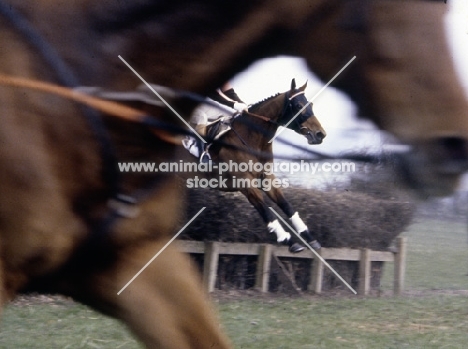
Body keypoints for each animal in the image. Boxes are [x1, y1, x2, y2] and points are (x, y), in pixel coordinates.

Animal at [190, 78, 326, 251]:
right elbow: (266, 212)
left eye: (311, 104)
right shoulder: (245, 183)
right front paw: (287, 240)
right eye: (298, 105)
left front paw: (309, 237)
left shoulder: (266, 178)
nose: (320, 134)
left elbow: (287, 206)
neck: (250, 138)